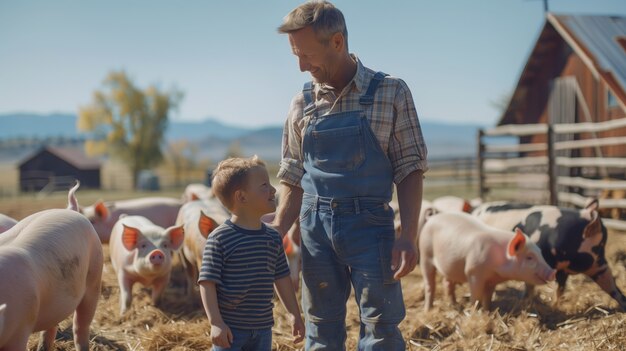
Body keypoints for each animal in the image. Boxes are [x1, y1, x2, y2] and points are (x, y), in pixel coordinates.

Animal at [416, 212, 552, 310]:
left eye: (540, 253)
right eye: (529, 257)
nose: (552, 272)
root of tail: (431, 218)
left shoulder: (492, 281)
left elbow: (488, 297)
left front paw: (487, 312)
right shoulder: (473, 272)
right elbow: (476, 297)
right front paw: (474, 313)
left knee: (447, 283)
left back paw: (454, 305)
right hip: (425, 255)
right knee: (430, 285)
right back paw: (428, 310)